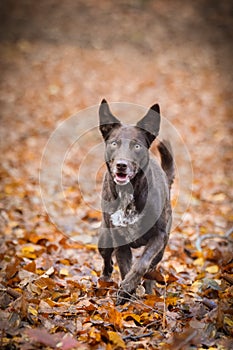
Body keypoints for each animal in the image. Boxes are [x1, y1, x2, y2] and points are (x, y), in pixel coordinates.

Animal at [97, 98, 174, 304]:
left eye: (137, 146)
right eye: (114, 143)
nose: (121, 165)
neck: (127, 194)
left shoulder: (159, 237)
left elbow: (141, 264)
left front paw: (129, 287)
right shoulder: (119, 241)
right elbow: (125, 268)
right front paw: (126, 296)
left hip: (161, 249)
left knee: (151, 268)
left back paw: (148, 290)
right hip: (104, 238)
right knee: (107, 260)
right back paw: (105, 278)